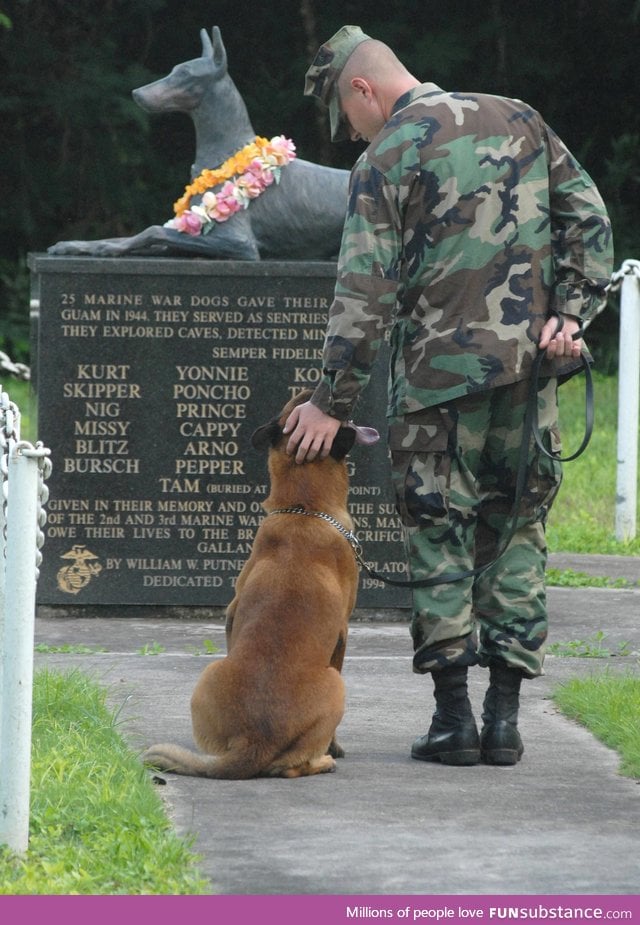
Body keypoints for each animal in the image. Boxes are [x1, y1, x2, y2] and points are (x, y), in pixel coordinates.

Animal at [144, 386, 360, 776]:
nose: (318, 387)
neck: (304, 508)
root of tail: (255, 742)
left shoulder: (231, 613)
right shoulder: (343, 634)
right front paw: (336, 748)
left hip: (209, 673)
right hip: (336, 685)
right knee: (293, 767)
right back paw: (323, 760)